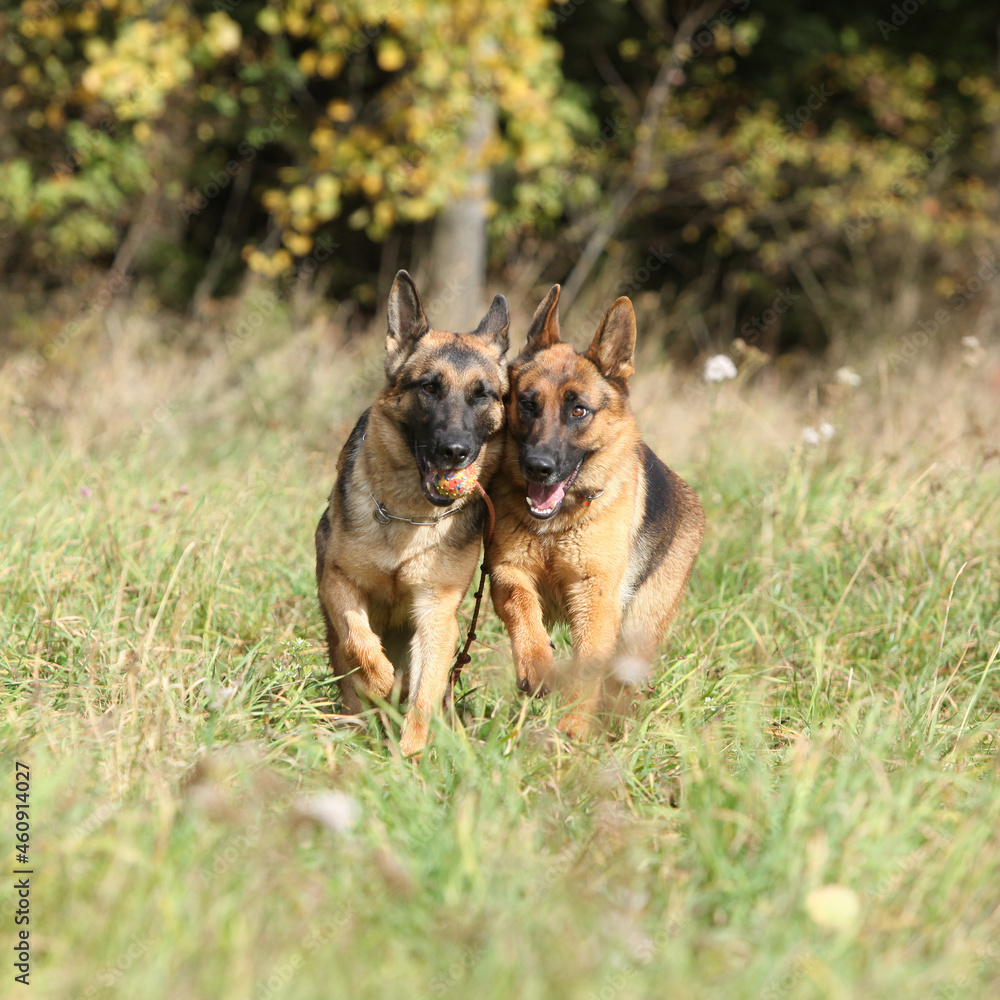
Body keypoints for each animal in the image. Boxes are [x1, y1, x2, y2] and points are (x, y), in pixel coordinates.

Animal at [316, 270, 512, 752]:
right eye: (429, 387)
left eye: (482, 395)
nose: (455, 451)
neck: (409, 516)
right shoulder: (338, 582)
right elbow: (360, 640)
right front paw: (381, 680)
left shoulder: (435, 617)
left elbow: (422, 699)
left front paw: (410, 757)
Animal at [488, 286, 708, 740]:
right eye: (528, 404)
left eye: (578, 411)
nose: (538, 466)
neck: (557, 525)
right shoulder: (506, 572)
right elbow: (523, 610)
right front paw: (537, 665)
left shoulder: (596, 598)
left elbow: (588, 665)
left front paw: (571, 728)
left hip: (637, 632)